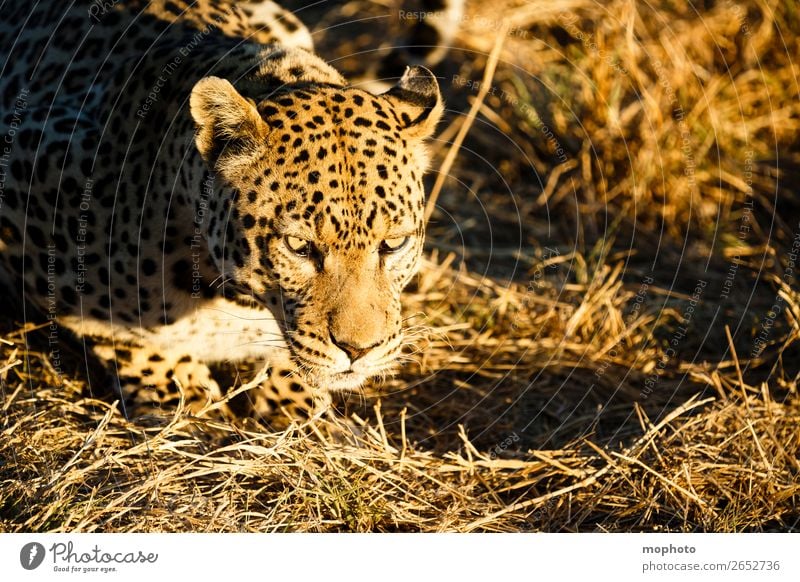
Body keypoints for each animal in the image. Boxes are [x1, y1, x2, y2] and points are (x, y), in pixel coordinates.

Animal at [0, 2, 456, 426]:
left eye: (393, 243)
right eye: (299, 246)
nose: (358, 350)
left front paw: (294, 400)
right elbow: (115, 329)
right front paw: (177, 390)